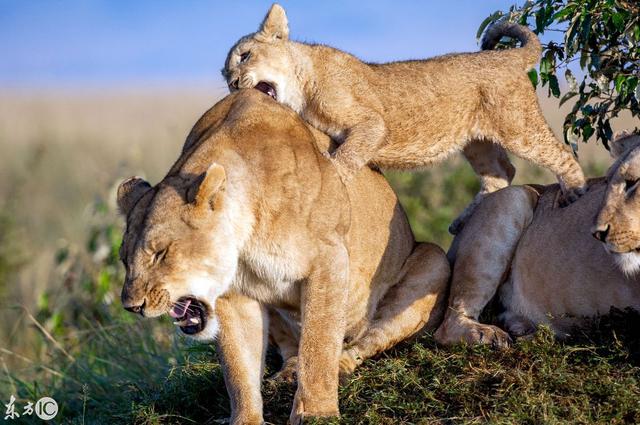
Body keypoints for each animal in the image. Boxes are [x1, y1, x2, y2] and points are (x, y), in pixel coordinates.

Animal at [115, 88, 450, 420]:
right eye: (124, 259)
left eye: (160, 253)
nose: (132, 306)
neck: (245, 239)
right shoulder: (231, 296)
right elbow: (239, 369)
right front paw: (247, 419)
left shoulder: (329, 260)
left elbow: (319, 342)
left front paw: (317, 413)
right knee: (290, 348)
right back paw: (289, 372)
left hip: (433, 261)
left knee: (366, 340)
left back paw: (341, 365)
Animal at [436, 132, 640, 348]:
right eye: (608, 182)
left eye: (632, 182)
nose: (597, 233)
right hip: (514, 198)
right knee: (447, 326)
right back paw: (493, 335)